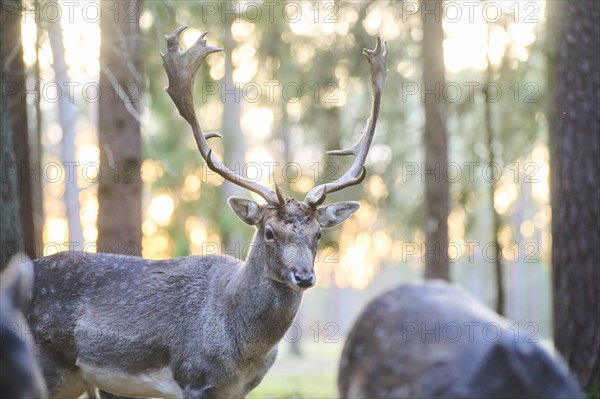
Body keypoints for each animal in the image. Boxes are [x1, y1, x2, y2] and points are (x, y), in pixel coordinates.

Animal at [27, 25, 390, 399]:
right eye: (269, 231)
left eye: (318, 233)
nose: (303, 276)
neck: (241, 349)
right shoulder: (194, 377)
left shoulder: (241, 388)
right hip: (43, 365)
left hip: (76, 379)